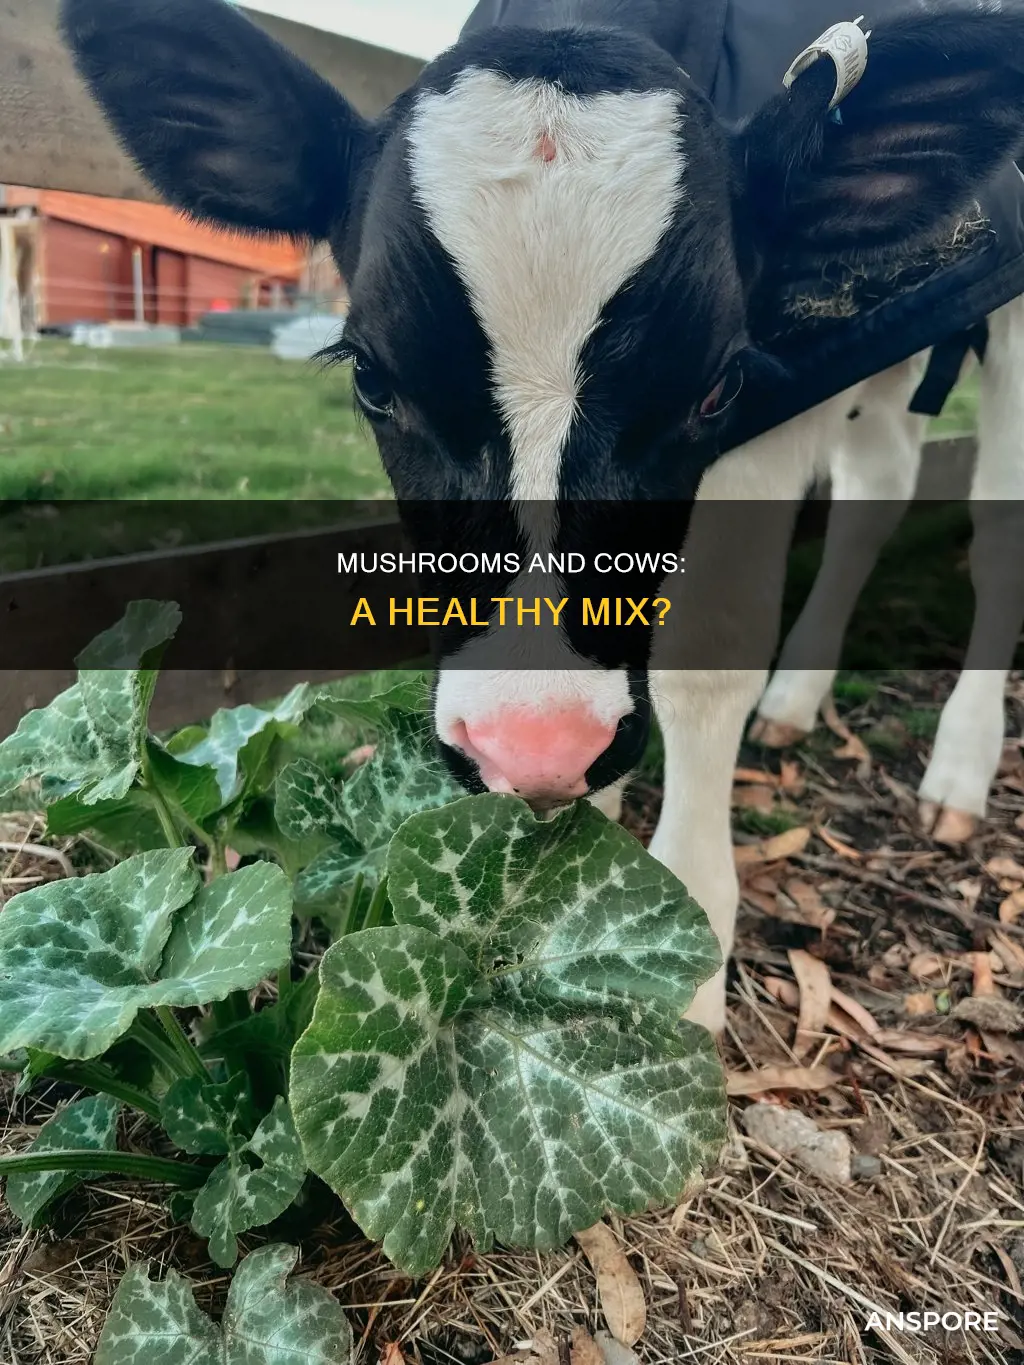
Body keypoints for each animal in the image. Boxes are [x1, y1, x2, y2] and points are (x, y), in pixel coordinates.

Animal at [61, 0, 1024, 1034]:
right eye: (372, 380)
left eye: (716, 388)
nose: (536, 747)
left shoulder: (778, 398)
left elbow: (708, 658)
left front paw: (689, 945)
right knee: (877, 482)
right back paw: (799, 698)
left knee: (992, 534)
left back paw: (959, 768)